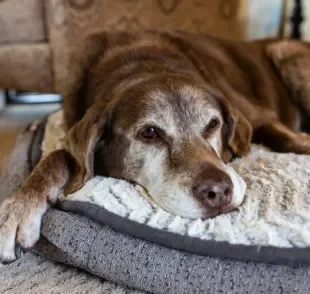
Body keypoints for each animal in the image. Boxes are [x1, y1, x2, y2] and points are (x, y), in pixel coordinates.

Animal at [0, 31, 310, 262]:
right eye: (150, 133)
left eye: (213, 124)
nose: (219, 192)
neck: (144, 64)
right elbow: (58, 156)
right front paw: (18, 208)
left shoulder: (259, 115)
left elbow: (285, 138)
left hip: (284, 52)